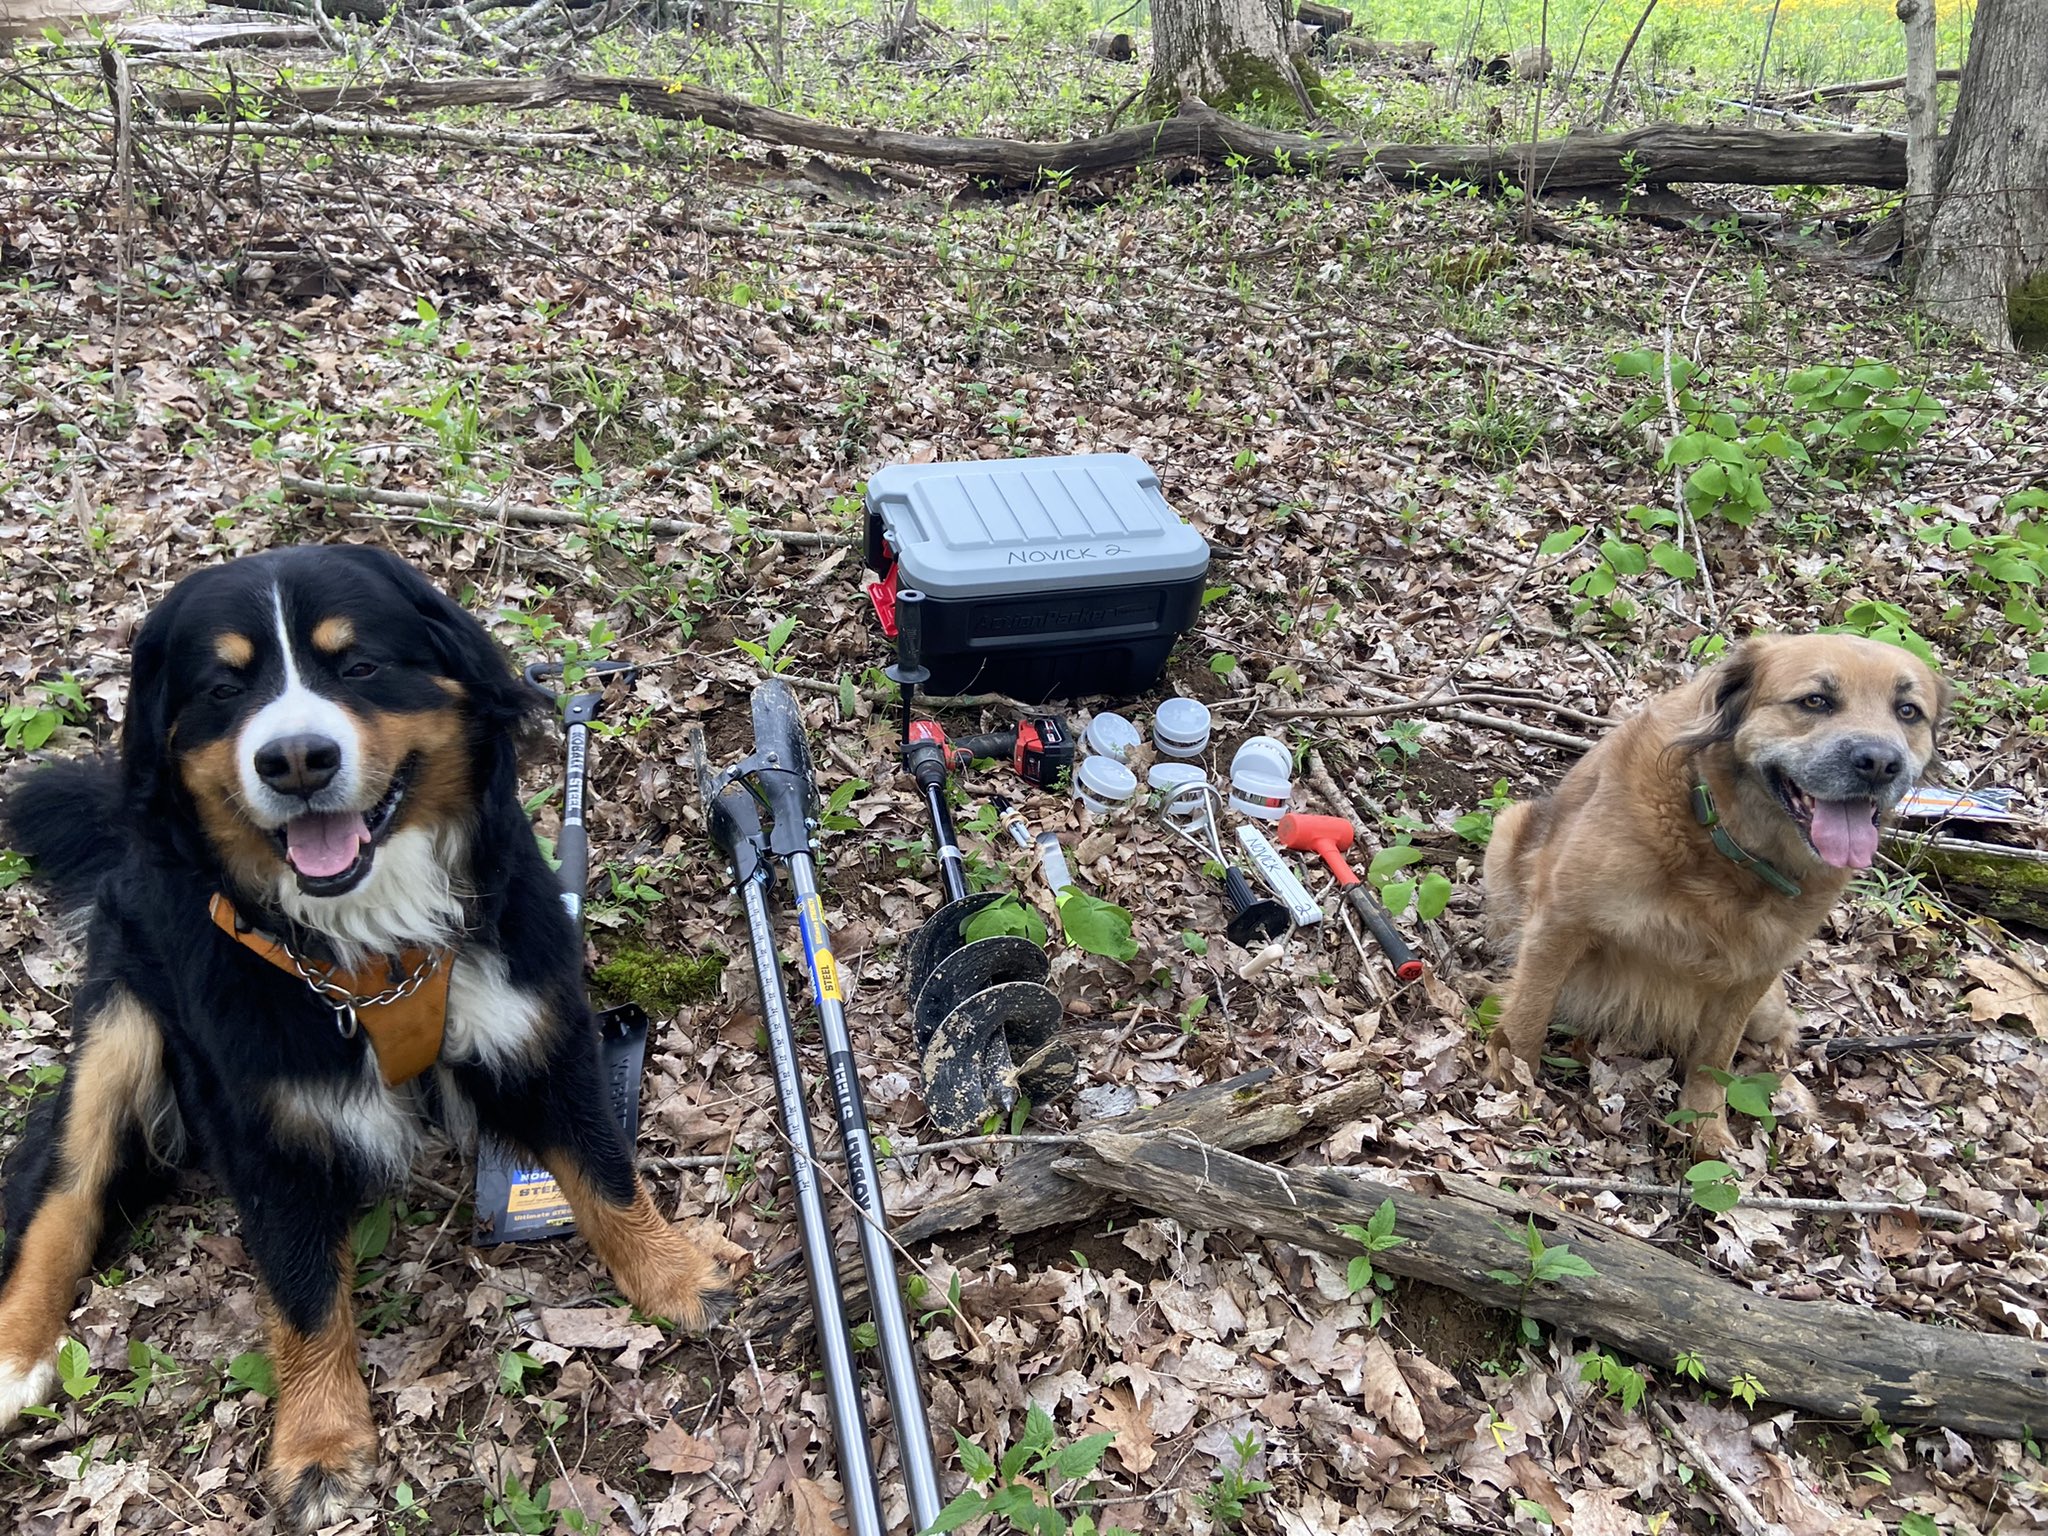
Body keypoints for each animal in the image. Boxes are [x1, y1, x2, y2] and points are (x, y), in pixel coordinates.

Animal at [0, 548, 737, 1531]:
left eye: (357, 666)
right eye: (225, 687)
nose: (296, 760)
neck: (371, 941)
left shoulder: (539, 1030)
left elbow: (606, 1173)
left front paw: (679, 1275)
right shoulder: (263, 1125)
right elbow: (304, 1294)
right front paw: (318, 1443)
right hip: (120, 1028)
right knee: (66, 1190)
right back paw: (14, 1356)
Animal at [1482, 638, 1941, 1155]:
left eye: (1907, 711)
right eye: (1815, 701)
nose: (1880, 763)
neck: (1727, 846)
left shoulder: (1753, 973)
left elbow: (1715, 1057)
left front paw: (1706, 1125)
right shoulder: (1562, 920)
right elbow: (1530, 1009)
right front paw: (1515, 1076)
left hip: (1767, 1008)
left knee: (1777, 1037)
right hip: (1509, 833)